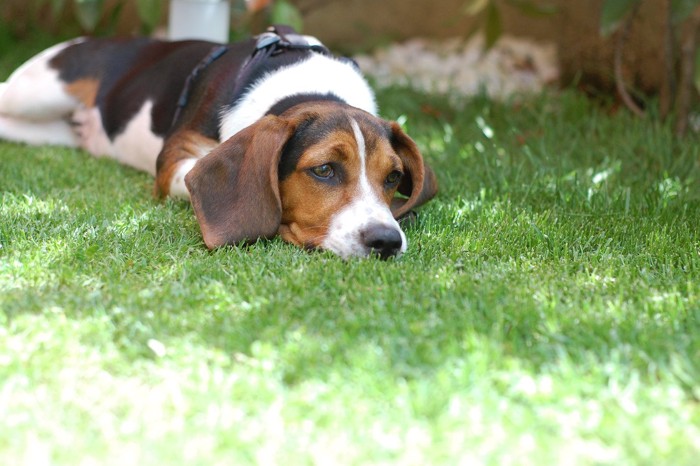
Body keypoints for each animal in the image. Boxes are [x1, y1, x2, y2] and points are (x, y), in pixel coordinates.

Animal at [0, 26, 438, 258]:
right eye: (325, 170)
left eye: (393, 178)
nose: (386, 241)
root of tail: (91, 39)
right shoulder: (174, 157)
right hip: (36, 92)